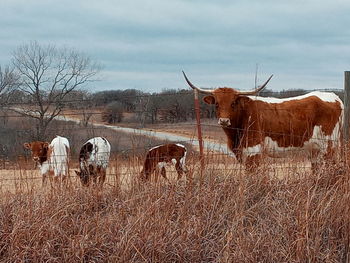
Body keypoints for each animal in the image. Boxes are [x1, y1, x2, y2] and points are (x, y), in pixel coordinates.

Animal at [185, 72, 344, 171]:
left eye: (233, 103)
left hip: (329, 145)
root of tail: (333, 96)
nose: (224, 120)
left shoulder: (253, 151)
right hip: (315, 150)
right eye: (217, 104)